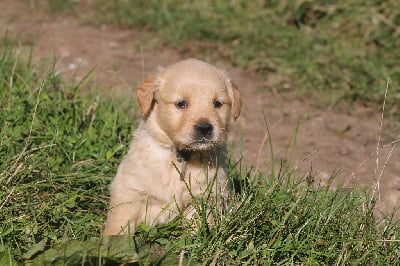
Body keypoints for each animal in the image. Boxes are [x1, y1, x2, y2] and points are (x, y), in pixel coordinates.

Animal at [103, 58, 241, 235]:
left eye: (217, 103)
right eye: (181, 104)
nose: (205, 128)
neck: (180, 156)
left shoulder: (205, 195)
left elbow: (200, 224)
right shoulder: (129, 189)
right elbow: (119, 222)